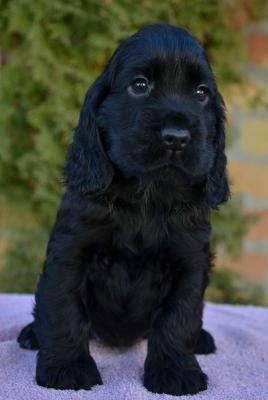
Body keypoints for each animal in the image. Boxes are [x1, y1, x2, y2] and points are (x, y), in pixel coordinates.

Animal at [17, 25, 229, 396]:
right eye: (140, 85)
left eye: (202, 93)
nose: (177, 137)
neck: (147, 196)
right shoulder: (70, 252)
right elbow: (62, 309)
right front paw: (67, 367)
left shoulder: (190, 263)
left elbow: (178, 318)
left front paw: (175, 371)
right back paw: (32, 334)